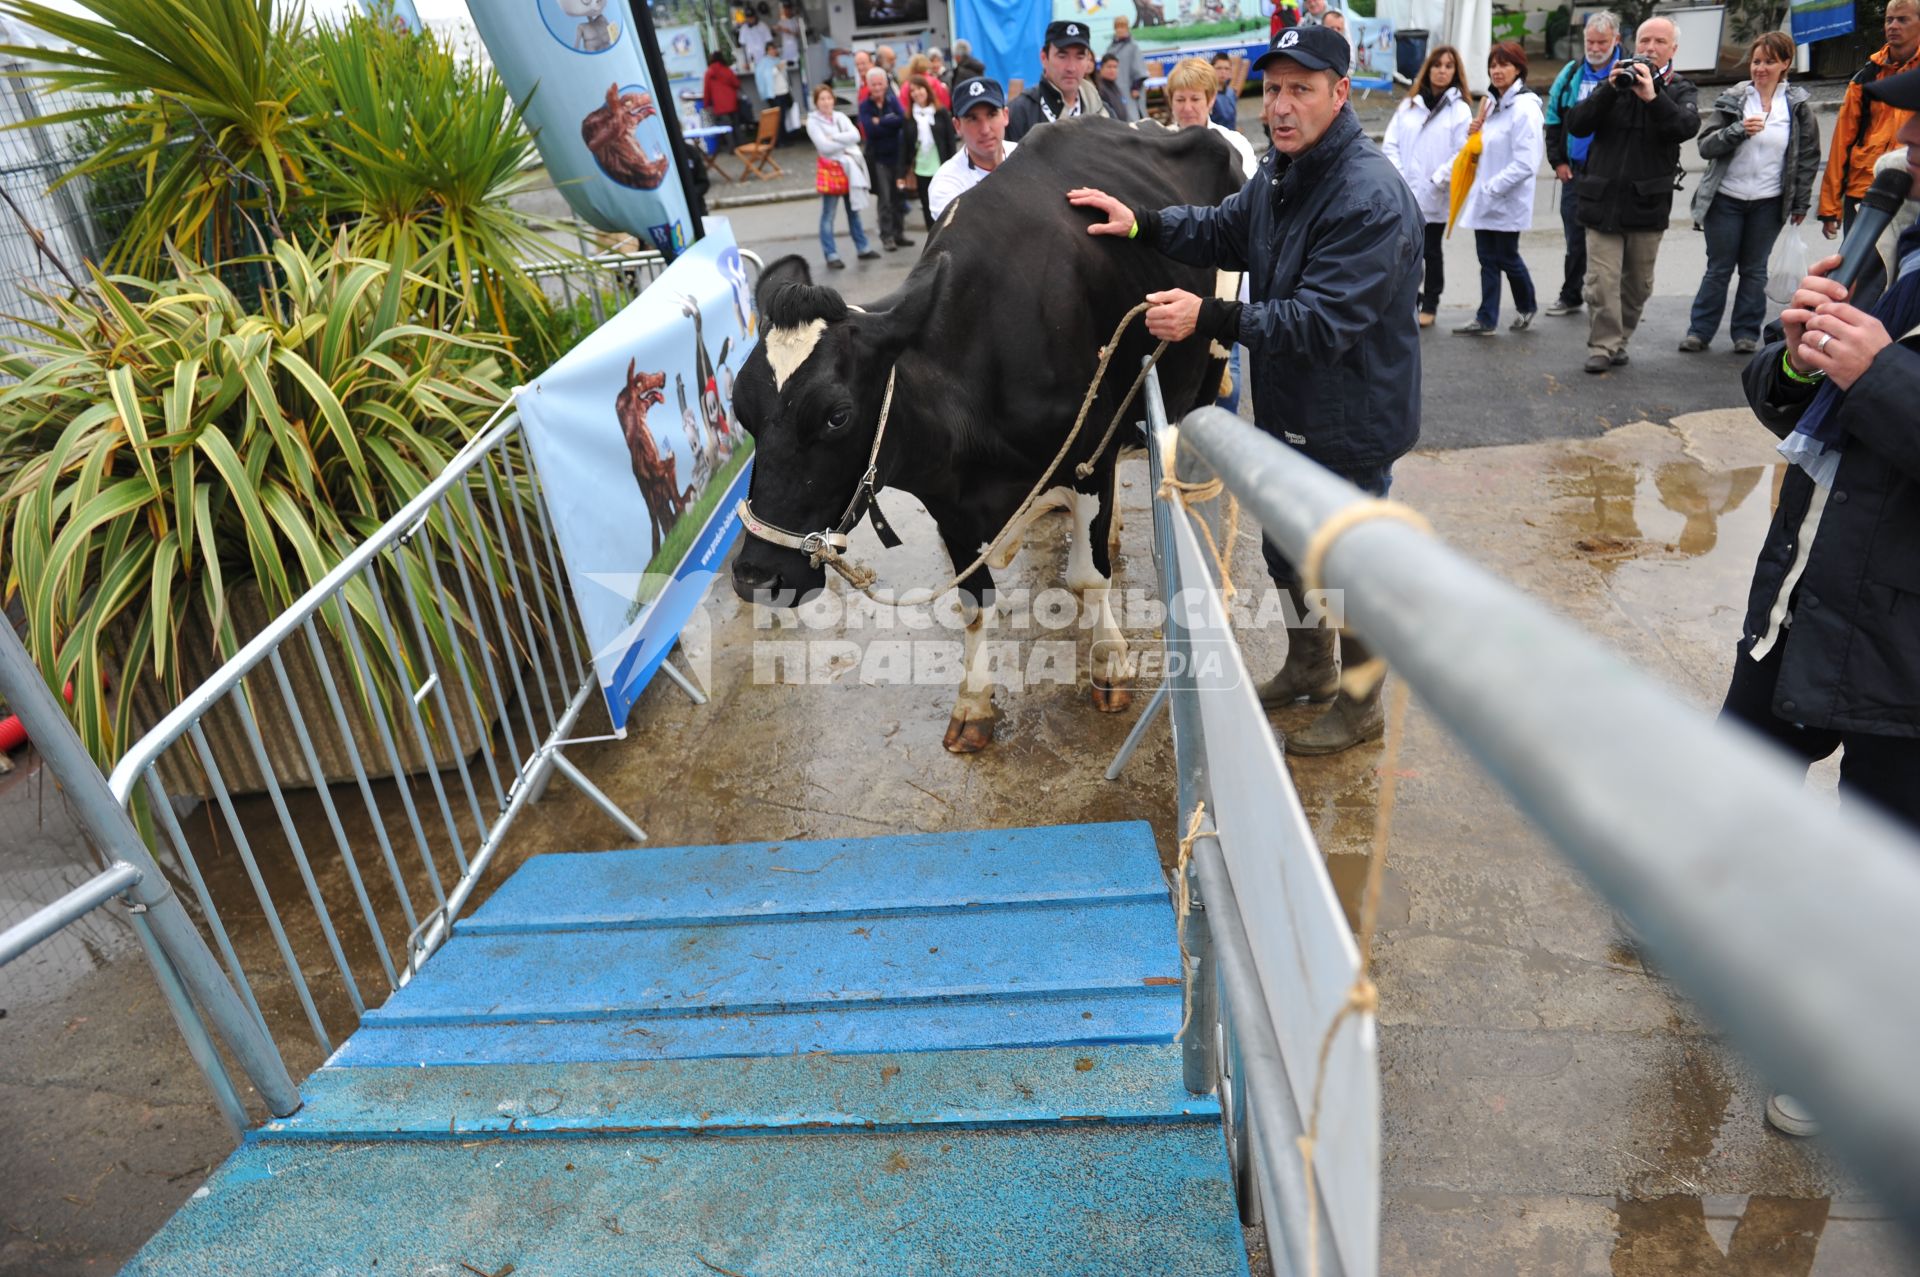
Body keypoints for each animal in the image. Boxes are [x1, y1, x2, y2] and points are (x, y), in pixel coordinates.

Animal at [725, 117, 1236, 748]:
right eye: (740, 409)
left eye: (836, 415)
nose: (755, 576)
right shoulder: (951, 501)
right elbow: (974, 601)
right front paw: (972, 704)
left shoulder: (1087, 457)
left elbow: (1088, 578)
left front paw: (1110, 664)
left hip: (1209, 358)